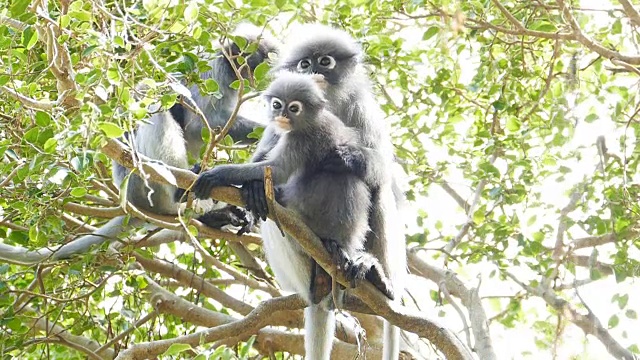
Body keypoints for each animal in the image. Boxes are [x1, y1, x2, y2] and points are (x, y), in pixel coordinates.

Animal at [242, 25, 408, 360]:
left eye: (325, 61)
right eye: (304, 64)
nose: (314, 71)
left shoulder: (362, 109)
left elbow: (382, 165)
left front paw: (348, 157)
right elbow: (265, 165)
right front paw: (252, 188)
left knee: (380, 186)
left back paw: (374, 274)